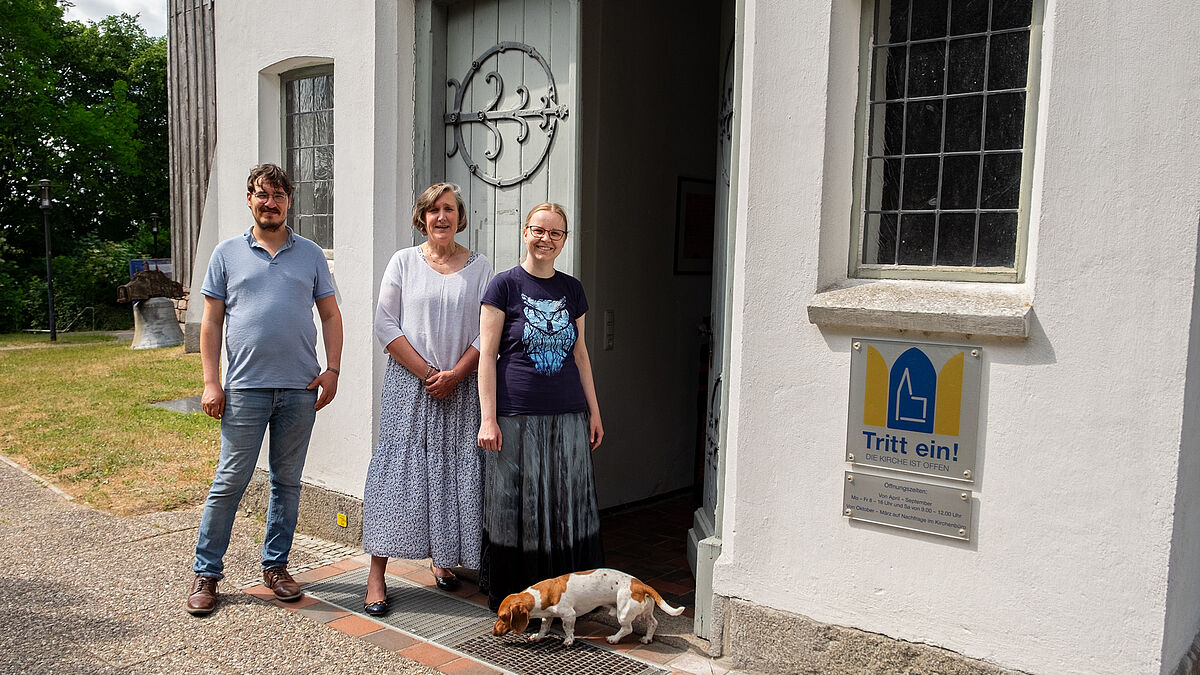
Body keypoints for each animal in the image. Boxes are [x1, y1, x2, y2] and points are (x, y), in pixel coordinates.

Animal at [492, 564, 686, 643]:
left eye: (502, 617)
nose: (493, 633)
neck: (540, 595)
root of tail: (640, 584)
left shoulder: (568, 615)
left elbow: (568, 629)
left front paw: (568, 641)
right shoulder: (548, 616)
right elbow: (544, 627)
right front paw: (538, 636)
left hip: (623, 613)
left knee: (627, 629)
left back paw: (614, 638)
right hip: (645, 612)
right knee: (653, 623)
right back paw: (647, 638)